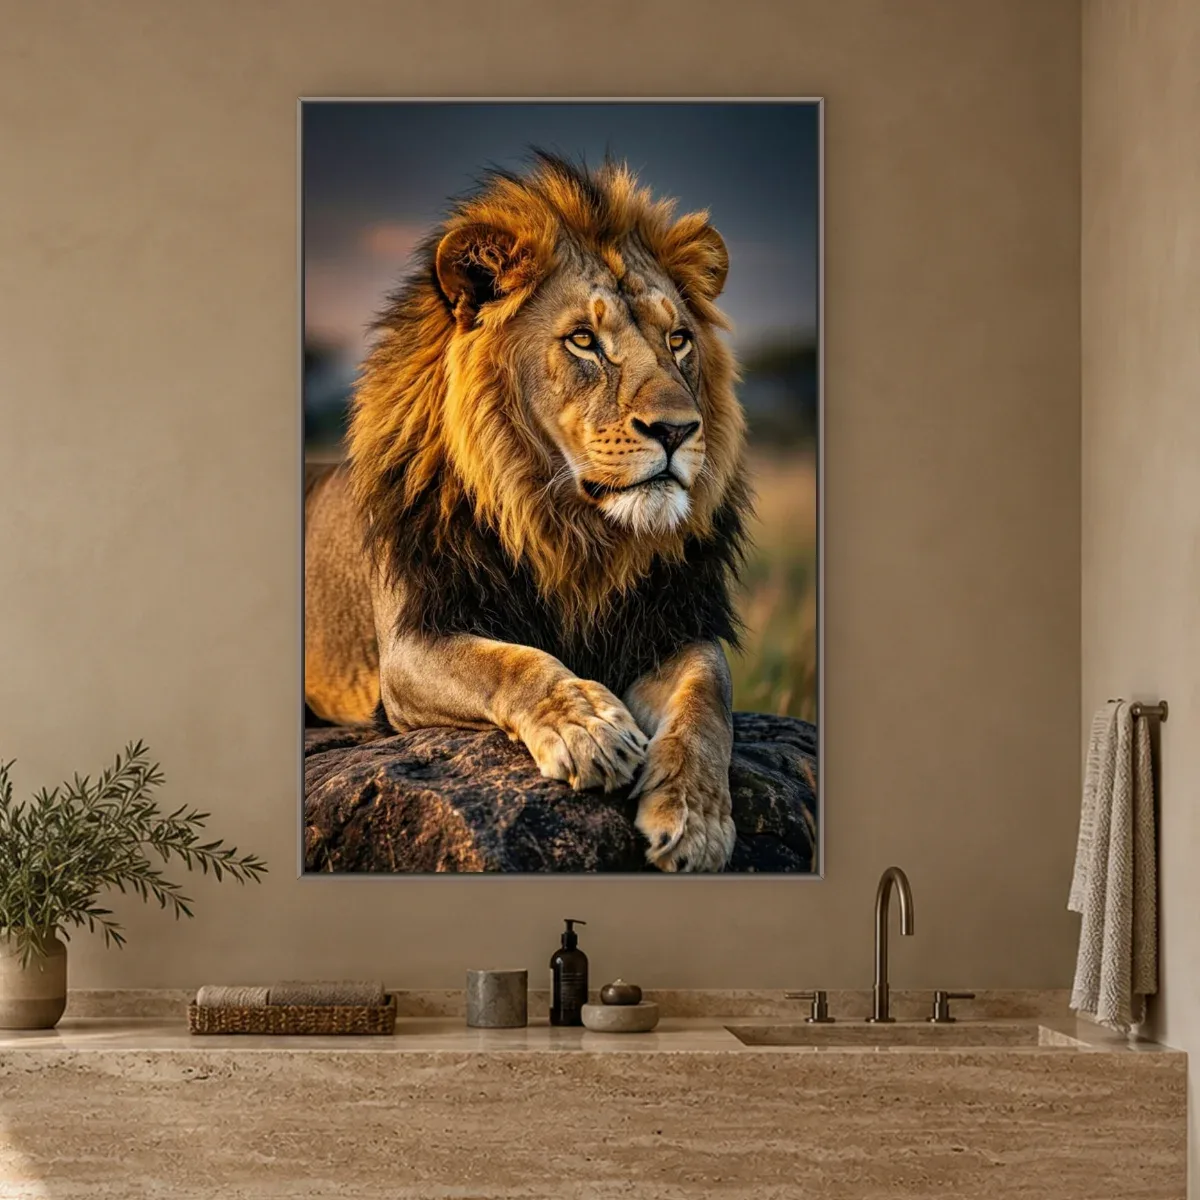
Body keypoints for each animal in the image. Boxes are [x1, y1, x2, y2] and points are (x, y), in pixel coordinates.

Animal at [305, 152, 752, 872]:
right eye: (584, 341)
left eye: (680, 339)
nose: (679, 430)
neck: (573, 532)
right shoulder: (411, 643)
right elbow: (513, 661)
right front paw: (589, 728)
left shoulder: (673, 625)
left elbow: (706, 701)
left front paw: (697, 819)